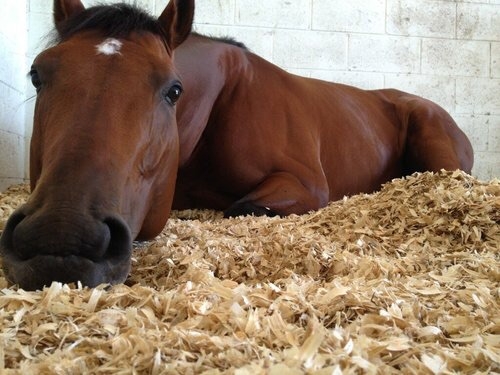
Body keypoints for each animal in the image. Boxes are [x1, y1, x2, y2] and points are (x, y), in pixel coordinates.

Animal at [0, 1, 470, 292]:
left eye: (173, 90)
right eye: (37, 74)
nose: (60, 237)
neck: (222, 101)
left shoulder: (303, 184)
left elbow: (240, 208)